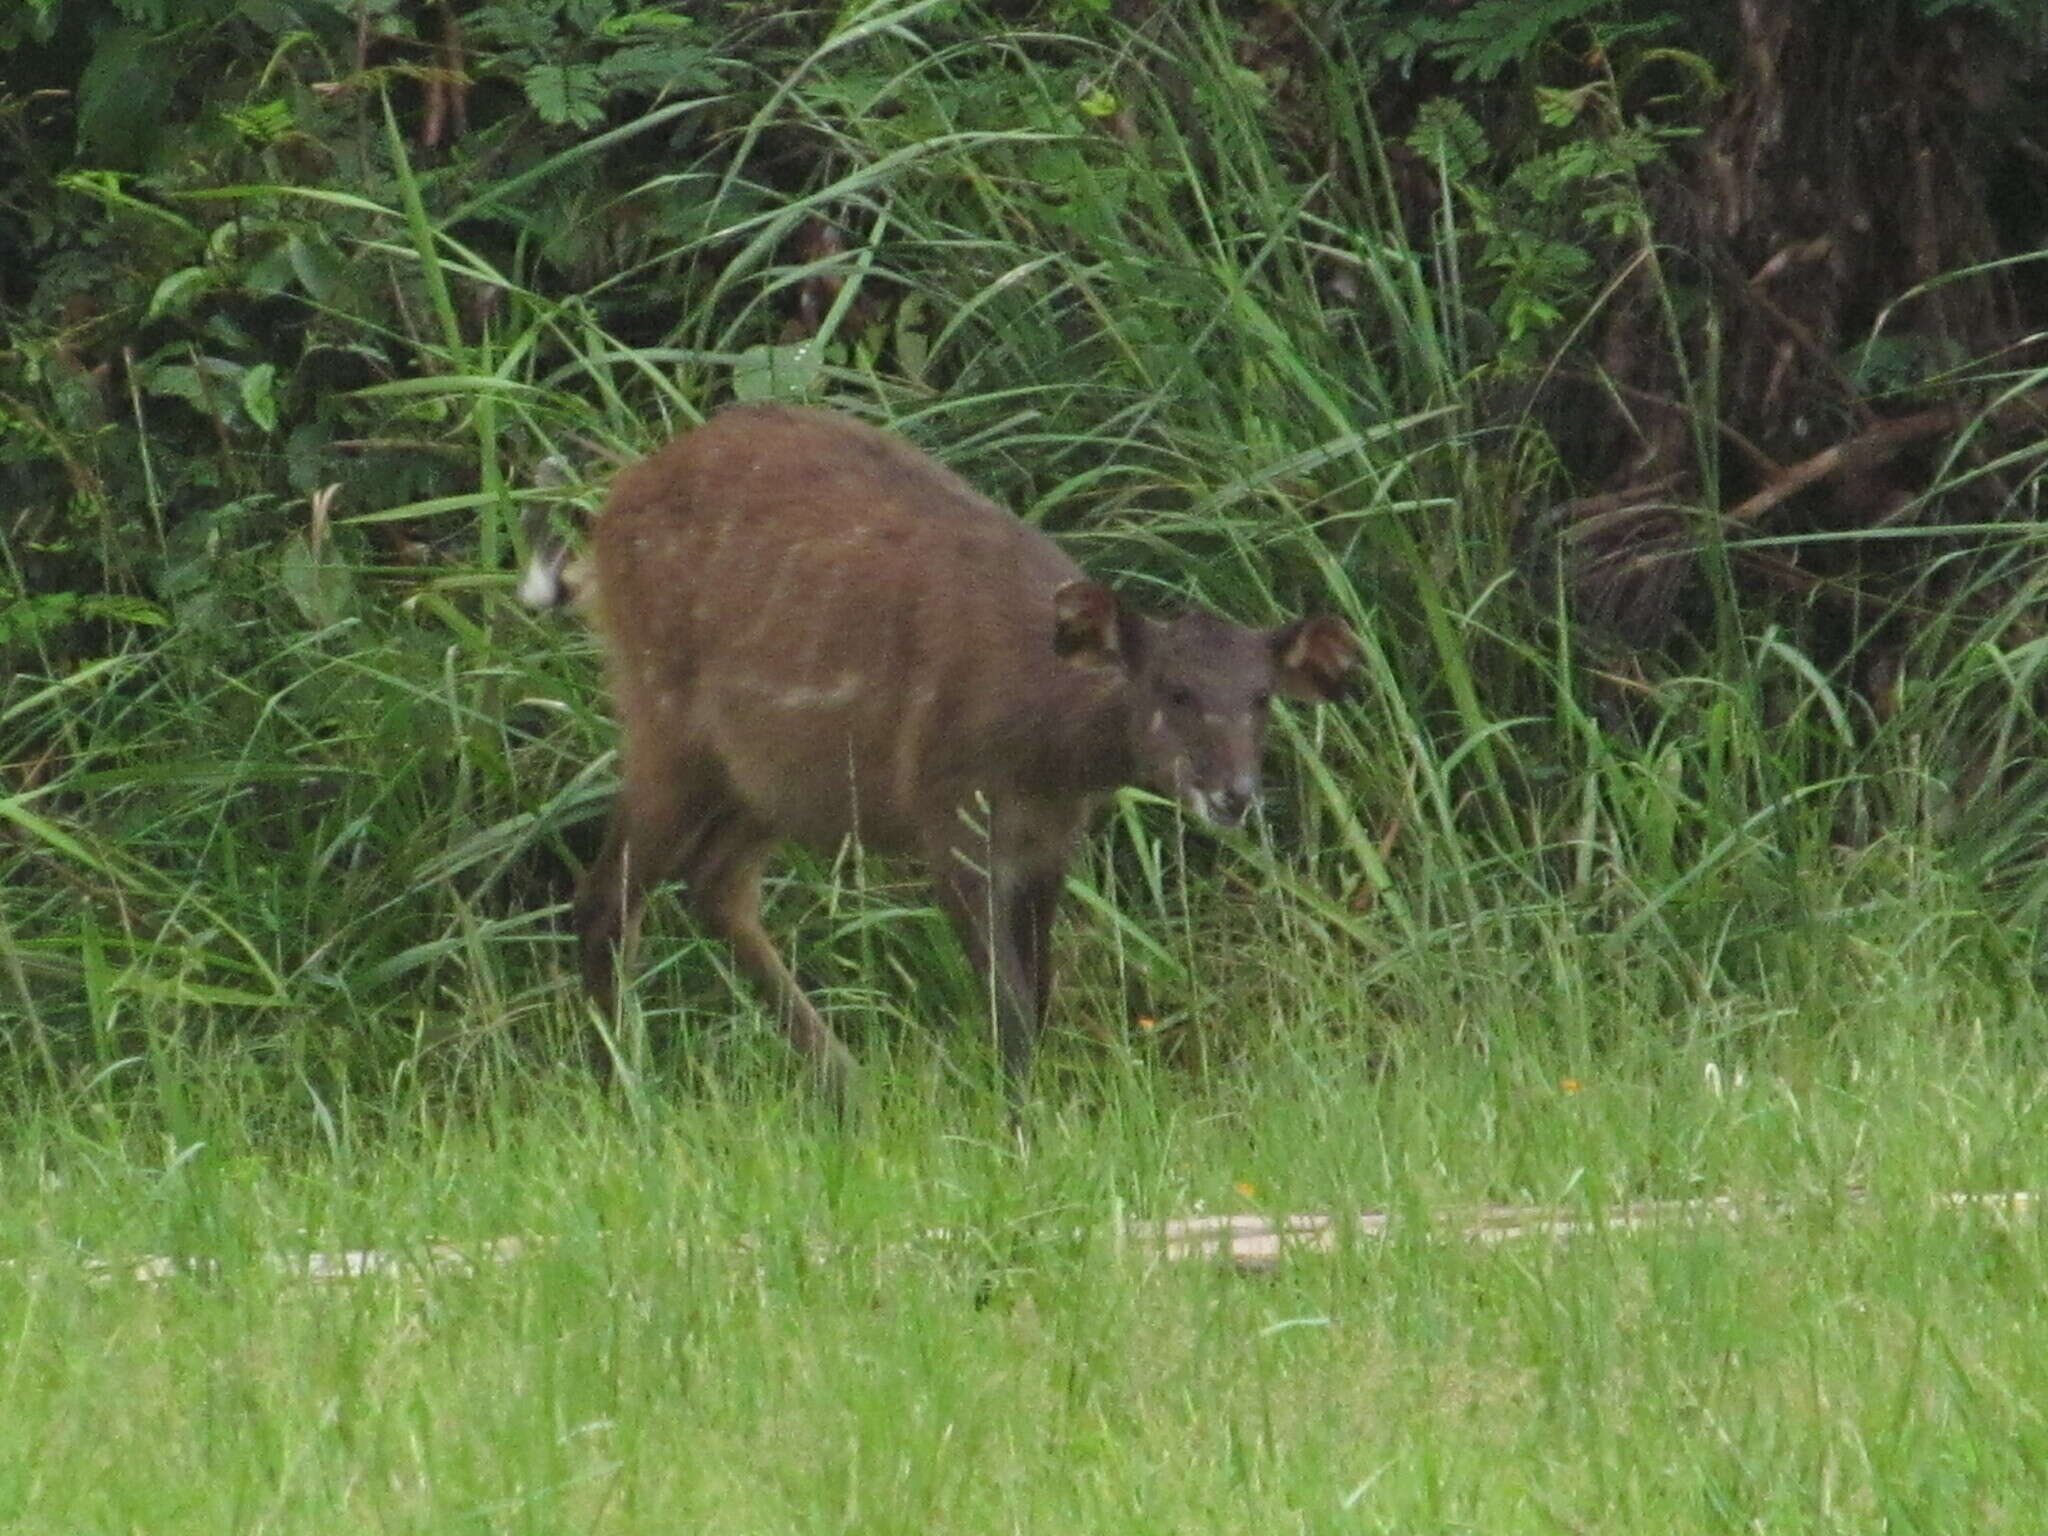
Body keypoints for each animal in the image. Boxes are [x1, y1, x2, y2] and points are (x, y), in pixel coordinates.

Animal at [524, 405, 1359, 1105]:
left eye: (1262, 696)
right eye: (1175, 689)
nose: (1235, 793)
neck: (1040, 740)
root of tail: (603, 521)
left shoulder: (1051, 842)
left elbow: (1041, 993)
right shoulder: (950, 814)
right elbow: (1009, 1006)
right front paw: (1020, 1130)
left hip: (767, 779)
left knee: (714, 887)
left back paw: (849, 1091)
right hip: (664, 722)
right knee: (605, 899)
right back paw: (629, 1101)